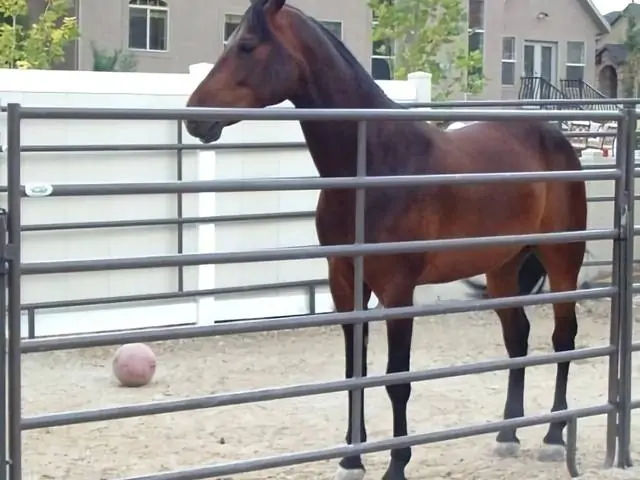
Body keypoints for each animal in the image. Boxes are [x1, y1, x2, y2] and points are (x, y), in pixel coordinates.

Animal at [184, 1, 584, 478]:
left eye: (246, 45)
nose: (193, 117)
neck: (374, 164)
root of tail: (558, 138)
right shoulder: (345, 283)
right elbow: (355, 369)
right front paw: (351, 458)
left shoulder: (397, 291)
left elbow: (398, 379)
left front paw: (397, 463)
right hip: (503, 268)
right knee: (518, 337)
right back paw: (507, 434)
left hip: (561, 260)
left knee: (563, 337)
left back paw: (554, 436)